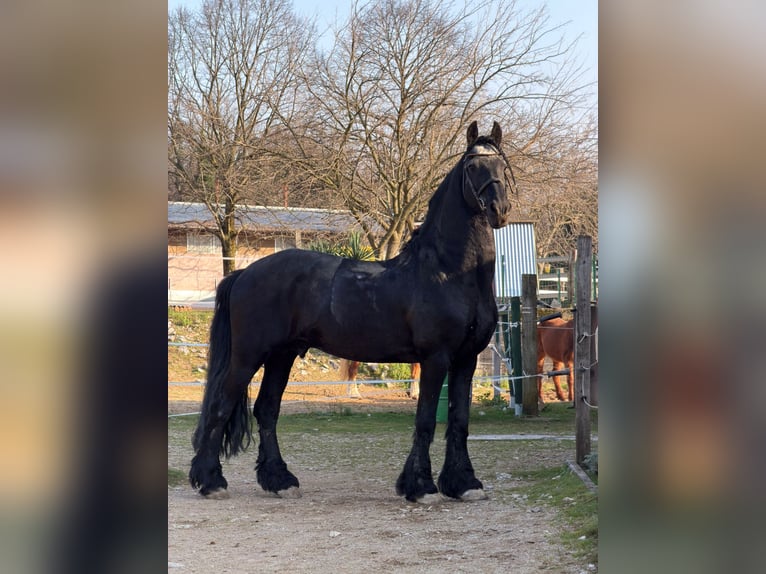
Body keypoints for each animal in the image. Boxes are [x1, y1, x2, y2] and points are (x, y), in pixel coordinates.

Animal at [189, 121, 516, 503]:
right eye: (472, 166)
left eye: (502, 165)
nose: (498, 209)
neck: (447, 272)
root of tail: (243, 273)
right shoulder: (435, 358)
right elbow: (424, 421)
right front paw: (420, 486)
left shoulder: (466, 360)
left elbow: (459, 420)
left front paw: (464, 483)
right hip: (248, 356)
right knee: (221, 405)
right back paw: (212, 482)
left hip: (282, 355)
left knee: (267, 410)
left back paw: (280, 480)